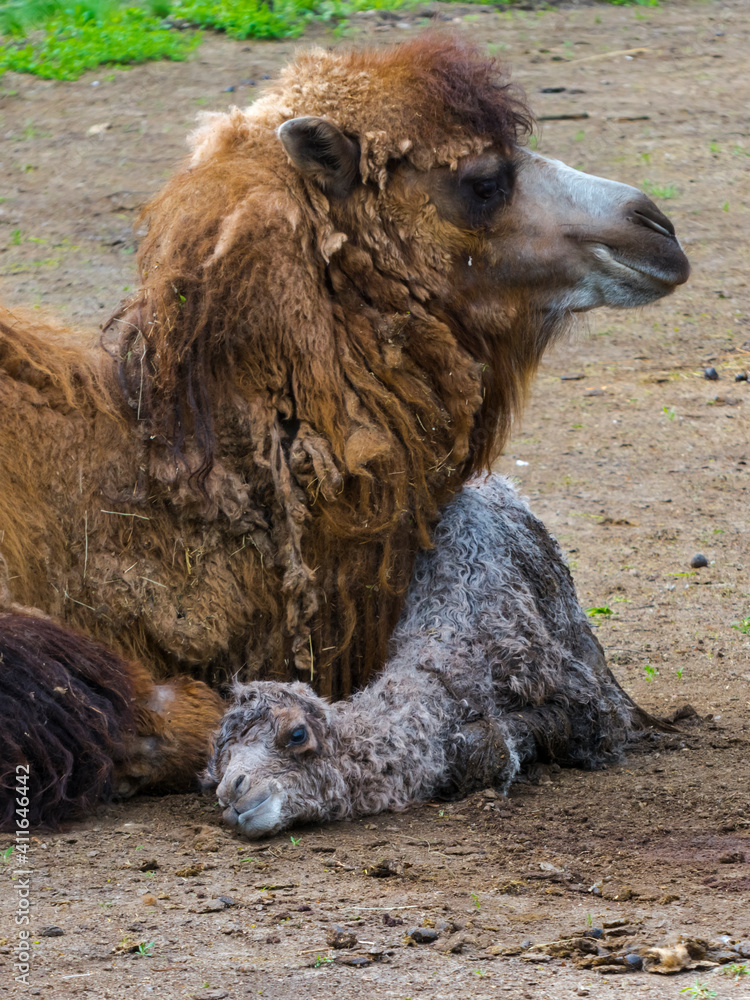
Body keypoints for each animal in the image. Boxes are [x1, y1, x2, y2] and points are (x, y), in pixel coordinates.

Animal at [205, 476, 651, 838]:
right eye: (219, 766)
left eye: (296, 734)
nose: (232, 792)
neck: (454, 659)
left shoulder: (586, 705)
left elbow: (496, 741)